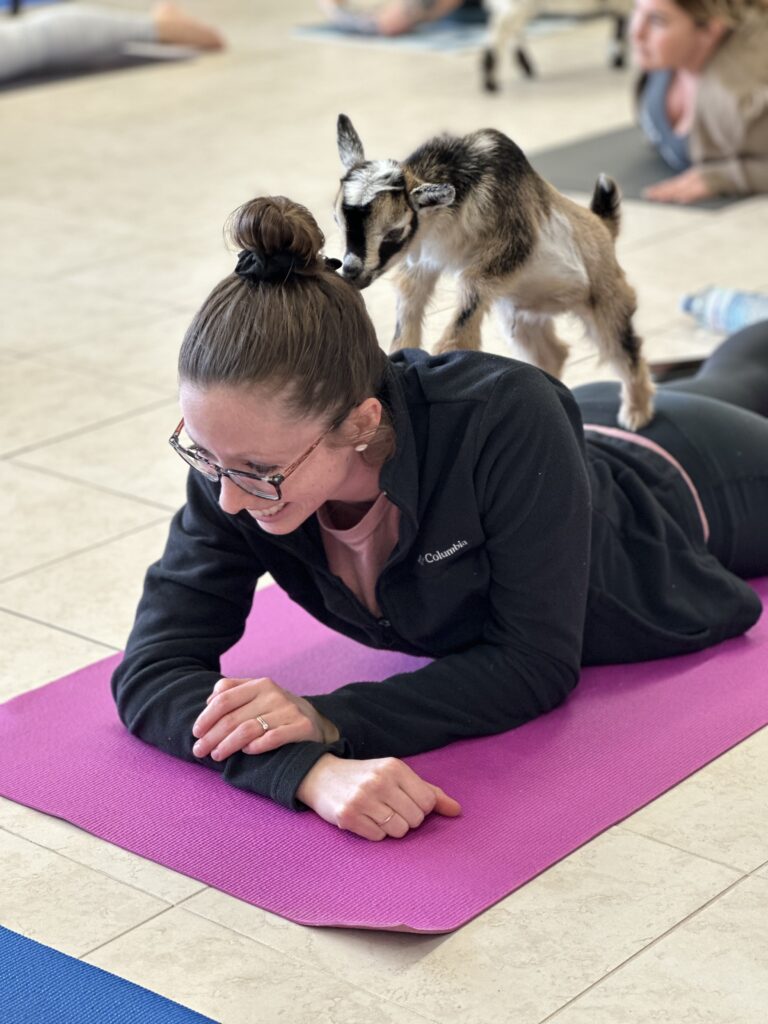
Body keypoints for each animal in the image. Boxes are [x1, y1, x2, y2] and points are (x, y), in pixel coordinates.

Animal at [335, 113, 655, 432]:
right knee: (552, 352)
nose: (351, 270)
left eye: (394, 232)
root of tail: (603, 227)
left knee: (622, 346)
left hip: (605, 296)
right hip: (521, 314)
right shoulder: (423, 263)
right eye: (338, 220)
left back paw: (636, 412)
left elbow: (464, 314)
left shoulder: (506, 250)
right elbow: (409, 305)